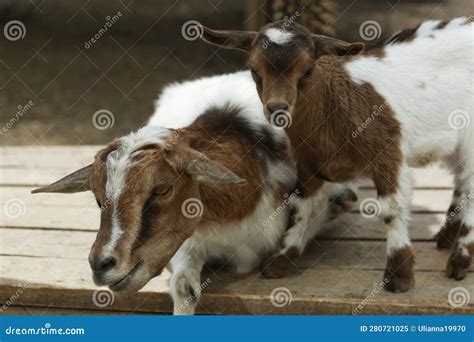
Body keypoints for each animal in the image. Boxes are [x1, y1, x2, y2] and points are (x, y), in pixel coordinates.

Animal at [201, 17, 474, 292]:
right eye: (253, 69)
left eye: (308, 69)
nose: (277, 108)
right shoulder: (307, 163)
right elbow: (299, 207)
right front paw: (280, 259)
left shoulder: (388, 155)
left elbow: (390, 212)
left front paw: (399, 276)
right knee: (462, 180)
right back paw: (447, 237)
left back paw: (459, 258)